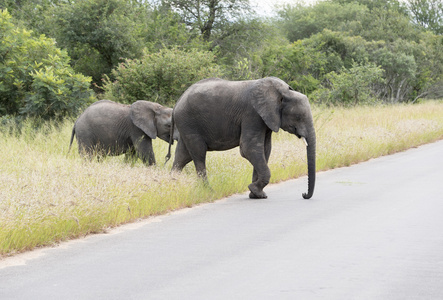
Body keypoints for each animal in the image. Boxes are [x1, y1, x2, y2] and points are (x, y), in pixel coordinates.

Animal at [168, 77, 318, 199]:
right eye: (298, 117)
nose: (304, 194)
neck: (283, 92)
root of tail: (177, 103)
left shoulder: (267, 118)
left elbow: (264, 149)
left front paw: (256, 195)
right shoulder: (252, 114)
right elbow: (248, 148)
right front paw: (255, 191)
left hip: (186, 125)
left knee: (182, 156)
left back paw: (173, 185)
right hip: (189, 122)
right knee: (198, 154)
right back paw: (209, 191)